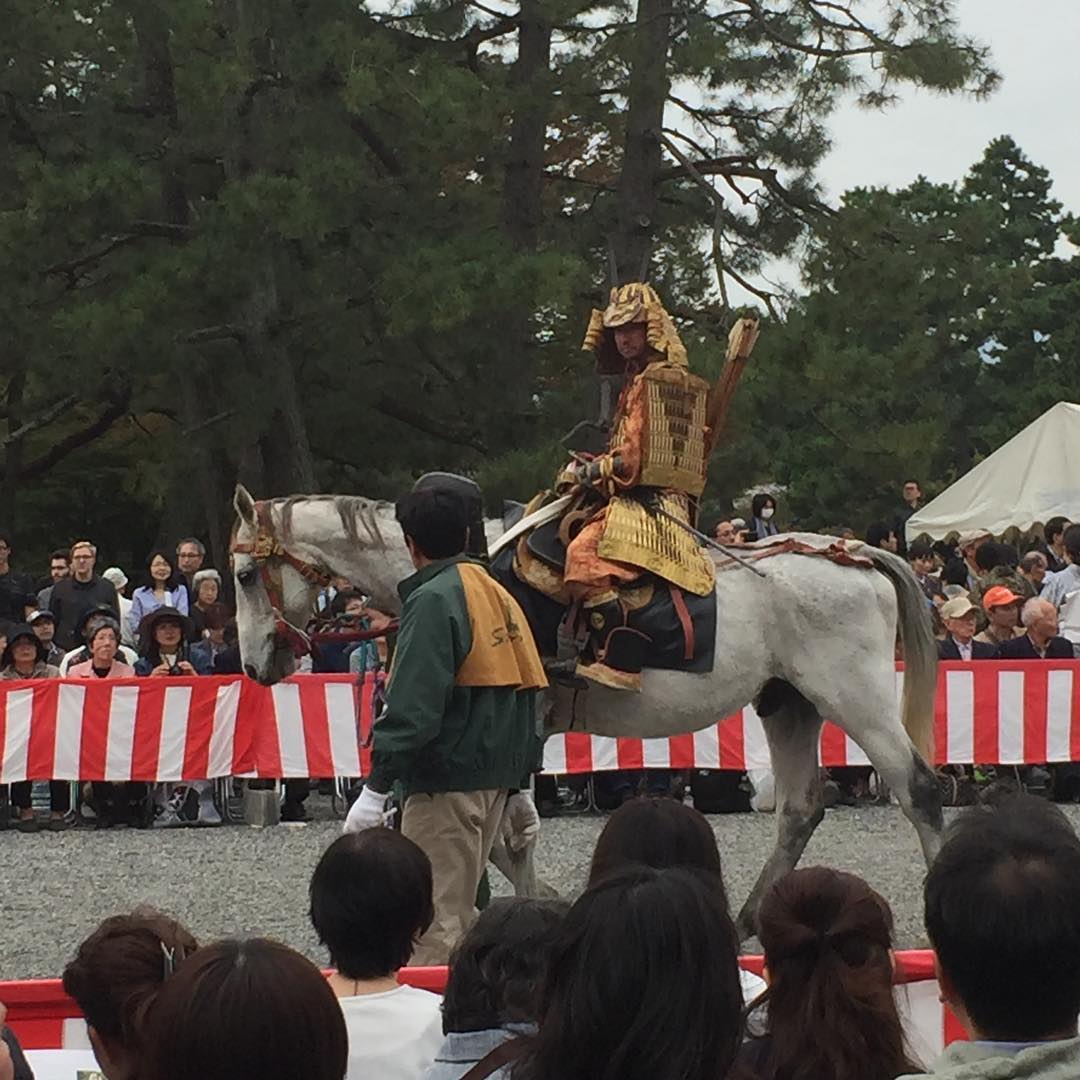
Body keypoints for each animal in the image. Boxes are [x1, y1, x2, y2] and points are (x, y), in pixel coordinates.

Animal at [232, 486, 941, 933]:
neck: (469, 574)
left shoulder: (518, 728)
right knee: (799, 809)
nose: (253, 664)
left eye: (242, 575)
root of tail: (853, 553)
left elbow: (511, 838)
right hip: (789, 702)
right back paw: (747, 922)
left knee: (919, 789)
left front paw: (535, 907)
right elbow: (502, 836)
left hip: (854, 695)